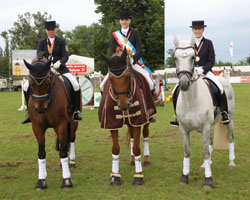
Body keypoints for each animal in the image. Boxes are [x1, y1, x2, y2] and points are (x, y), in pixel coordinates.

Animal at [23, 55, 78, 190]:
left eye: (48, 81)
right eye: (31, 83)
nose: (40, 109)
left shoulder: (61, 125)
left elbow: (63, 152)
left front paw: (66, 180)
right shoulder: (37, 128)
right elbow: (41, 153)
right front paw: (41, 181)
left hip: (73, 123)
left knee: (71, 139)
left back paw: (72, 161)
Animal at [99, 48, 156, 186]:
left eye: (127, 76)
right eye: (111, 79)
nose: (123, 105)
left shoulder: (138, 121)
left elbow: (136, 148)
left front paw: (138, 176)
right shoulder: (112, 124)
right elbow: (115, 149)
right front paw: (115, 176)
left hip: (146, 120)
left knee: (145, 136)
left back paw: (146, 159)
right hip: (130, 123)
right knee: (131, 138)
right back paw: (132, 160)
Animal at [173, 35, 235, 188]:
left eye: (192, 57)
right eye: (176, 58)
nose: (184, 84)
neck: (191, 100)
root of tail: (223, 78)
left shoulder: (206, 126)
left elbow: (205, 152)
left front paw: (208, 179)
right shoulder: (183, 128)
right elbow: (187, 151)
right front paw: (184, 176)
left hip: (229, 119)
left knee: (230, 137)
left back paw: (231, 162)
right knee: (211, 141)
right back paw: (205, 165)